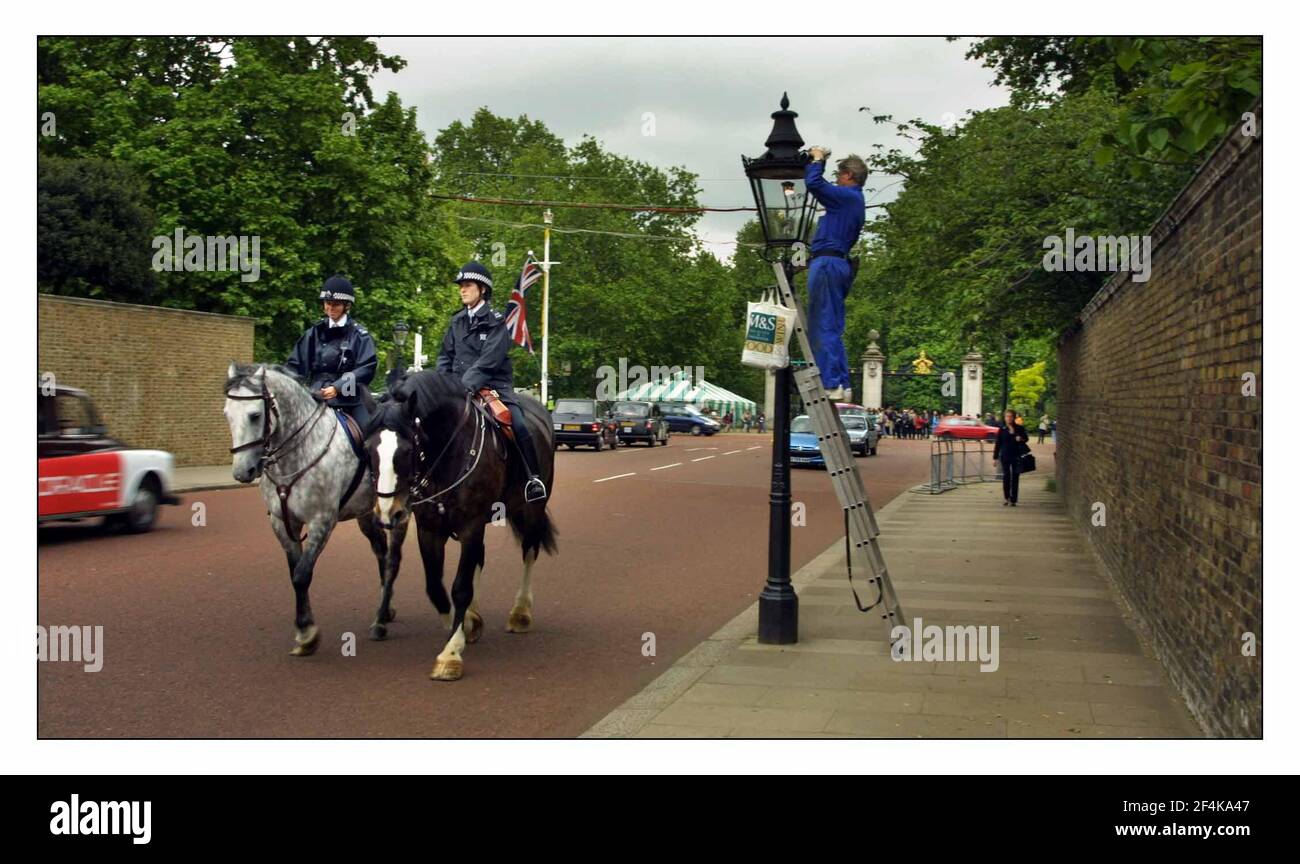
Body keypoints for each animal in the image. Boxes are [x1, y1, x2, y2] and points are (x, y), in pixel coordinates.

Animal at [223, 361, 403, 654]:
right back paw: (385, 611)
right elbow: (294, 572)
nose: (242, 472)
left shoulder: (322, 520)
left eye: (254, 415)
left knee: (392, 557)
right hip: (366, 514)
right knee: (381, 551)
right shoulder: (283, 523)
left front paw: (307, 633)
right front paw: (303, 627)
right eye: (227, 414)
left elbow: (302, 574)